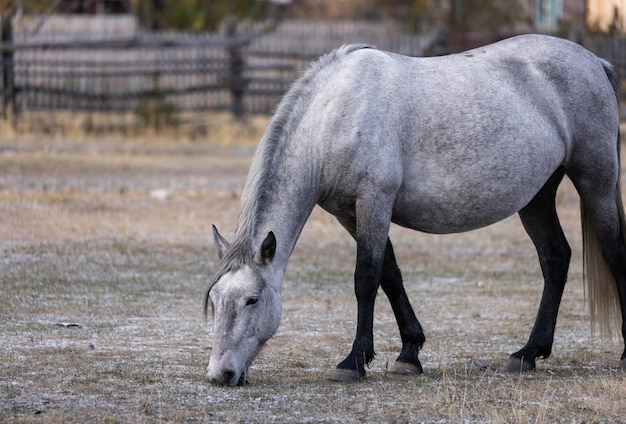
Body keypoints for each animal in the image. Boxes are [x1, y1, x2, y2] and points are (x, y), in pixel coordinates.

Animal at [204, 34, 620, 384]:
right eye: (216, 300)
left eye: (252, 300)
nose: (220, 374)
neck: (338, 113)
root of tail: (594, 61)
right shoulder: (348, 213)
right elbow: (390, 275)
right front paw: (409, 354)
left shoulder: (374, 200)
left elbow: (366, 278)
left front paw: (353, 362)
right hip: (536, 197)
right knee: (555, 258)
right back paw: (528, 354)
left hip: (595, 183)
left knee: (612, 253)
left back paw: (620, 357)